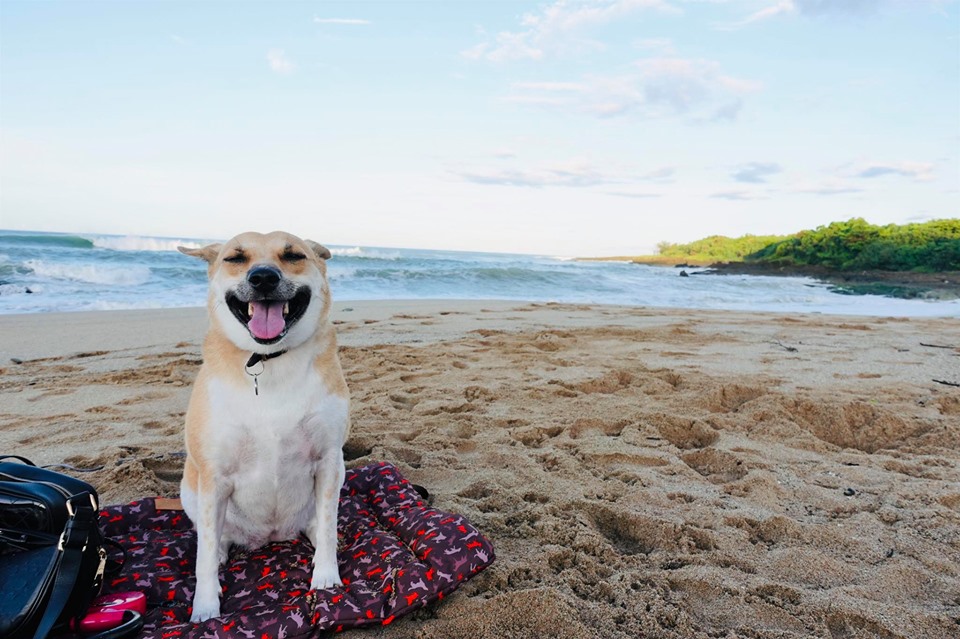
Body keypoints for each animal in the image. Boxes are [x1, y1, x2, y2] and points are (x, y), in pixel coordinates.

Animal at [176, 232, 348, 624]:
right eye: (235, 258)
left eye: (294, 255)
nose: (264, 277)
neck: (268, 359)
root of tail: (270, 536)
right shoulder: (213, 475)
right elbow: (204, 552)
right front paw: (205, 608)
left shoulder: (330, 459)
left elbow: (328, 524)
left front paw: (326, 576)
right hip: (189, 487)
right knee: (215, 538)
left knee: (317, 521)